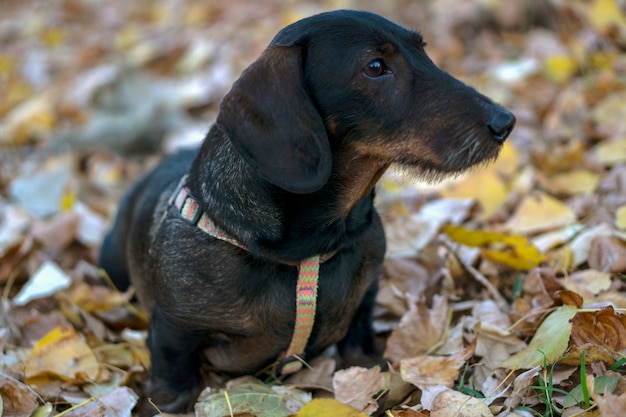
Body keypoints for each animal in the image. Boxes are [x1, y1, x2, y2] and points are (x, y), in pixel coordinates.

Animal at [100, 8, 516, 410]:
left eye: (423, 49)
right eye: (375, 66)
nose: (506, 122)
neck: (306, 250)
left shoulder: (363, 311)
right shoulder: (175, 331)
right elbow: (174, 386)